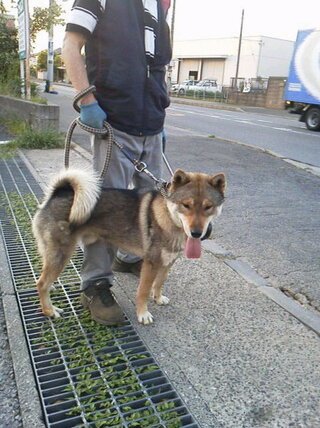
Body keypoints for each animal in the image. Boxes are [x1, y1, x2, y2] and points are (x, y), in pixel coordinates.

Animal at [31, 167, 225, 324]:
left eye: (208, 207)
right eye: (186, 205)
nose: (197, 233)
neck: (168, 218)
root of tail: (57, 194)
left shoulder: (168, 261)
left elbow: (159, 282)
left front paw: (158, 297)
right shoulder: (151, 264)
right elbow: (143, 291)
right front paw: (143, 314)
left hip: (52, 253)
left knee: (43, 275)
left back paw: (51, 289)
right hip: (61, 254)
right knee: (41, 283)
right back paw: (49, 310)